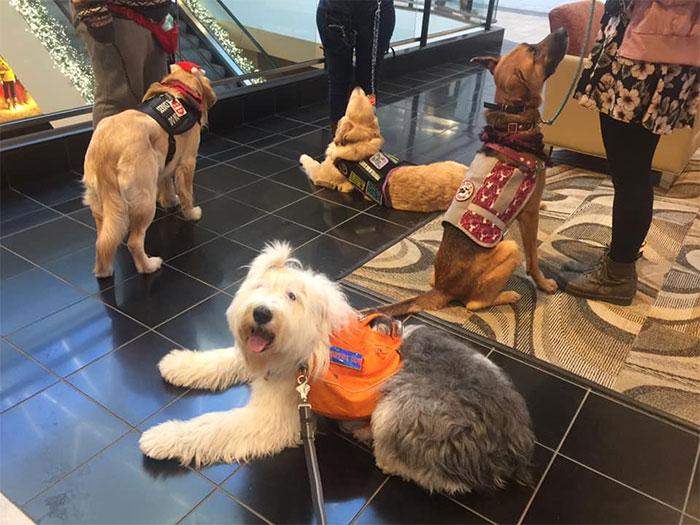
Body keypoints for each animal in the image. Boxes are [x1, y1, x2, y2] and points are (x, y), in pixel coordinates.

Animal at [82, 62, 215, 276]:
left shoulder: (166, 163)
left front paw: (170, 201)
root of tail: (106, 150)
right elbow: (186, 193)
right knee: (134, 242)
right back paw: (148, 265)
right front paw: (191, 213)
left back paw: (104, 270)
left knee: (102, 242)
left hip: (99, 204)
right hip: (144, 199)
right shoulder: (187, 162)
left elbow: (167, 186)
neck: (179, 88)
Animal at [300, 88, 468, 213]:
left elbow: (311, 163)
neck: (360, 141)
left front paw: (303, 157)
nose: (358, 87)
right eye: (364, 100)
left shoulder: (321, 174)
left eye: (352, 102)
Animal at [378, 28, 568, 316]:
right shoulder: (529, 213)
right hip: (509, 248)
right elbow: (533, 258)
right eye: (534, 50)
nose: (562, 30)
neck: (512, 124)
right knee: (474, 303)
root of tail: (442, 288)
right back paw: (507, 295)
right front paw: (544, 284)